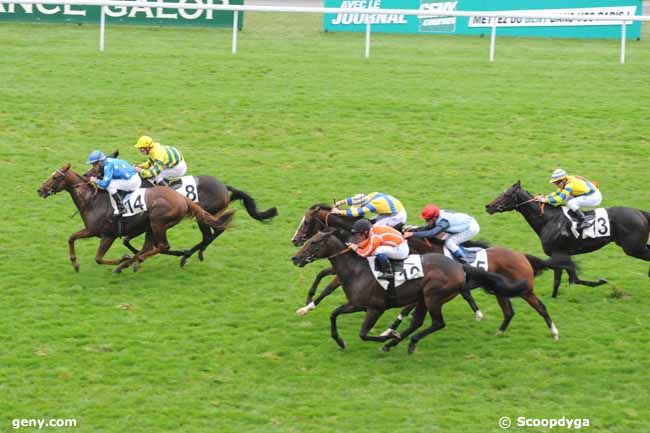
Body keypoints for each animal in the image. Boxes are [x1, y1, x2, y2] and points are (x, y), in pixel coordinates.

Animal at [36, 164, 233, 272]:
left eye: (55, 177)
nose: (40, 190)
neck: (93, 200)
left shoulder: (107, 234)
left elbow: (99, 258)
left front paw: (122, 259)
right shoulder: (91, 230)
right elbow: (71, 238)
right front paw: (75, 263)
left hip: (159, 223)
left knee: (165, 245)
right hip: (153, 226)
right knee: (155, 246)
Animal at [292, 204, 560, 340]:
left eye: (306, 222)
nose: (294, 242)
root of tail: (522, 256)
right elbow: (325, 278)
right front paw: (307, 306)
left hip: (525, 289)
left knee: (540, 306)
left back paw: (553, 331)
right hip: (500, 290)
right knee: (509, 310)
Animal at [484, 181, 644, 296]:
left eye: (506, 195)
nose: (488, 206)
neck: (548, 220)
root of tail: (641, 213)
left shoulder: (558, 252)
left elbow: (562, 279)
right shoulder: (562, 254)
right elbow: (572, 279)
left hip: (634, 248)